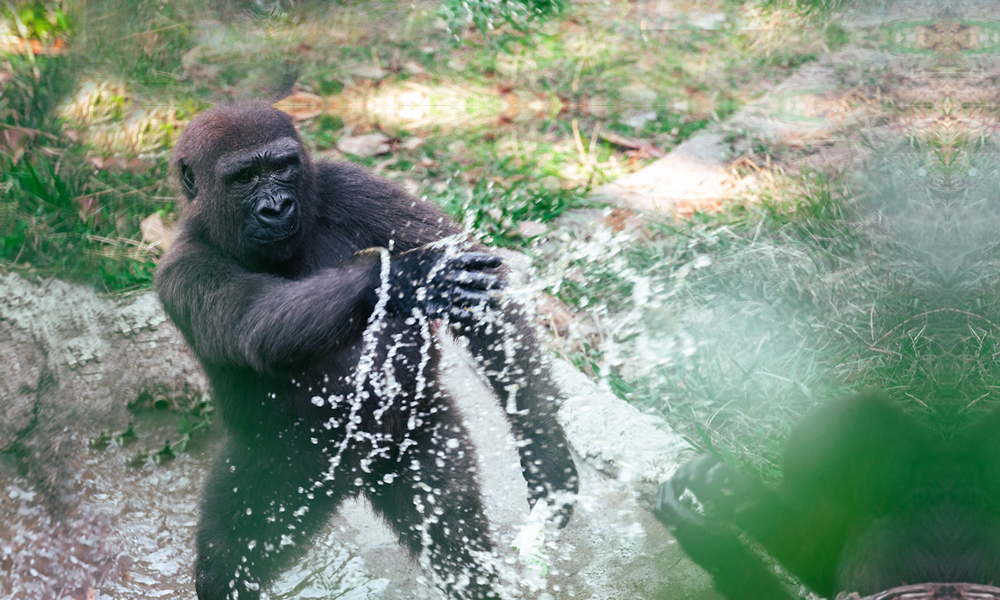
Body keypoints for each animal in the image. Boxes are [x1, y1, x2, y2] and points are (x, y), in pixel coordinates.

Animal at [155, 104, 580, 600]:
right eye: (243, 177)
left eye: (282, 167)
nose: (276, 207)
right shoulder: (182, 269)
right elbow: (253, 324)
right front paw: (398, 278)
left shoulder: (352, 186)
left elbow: (486, 301)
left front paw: (546, 450)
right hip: (276, 464)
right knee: (228, 560)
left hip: (415, 432)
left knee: (453, 535)